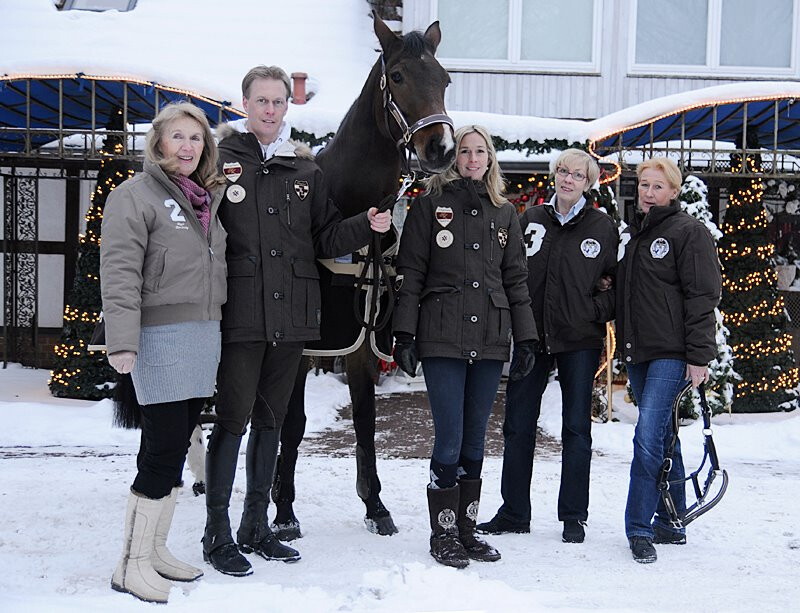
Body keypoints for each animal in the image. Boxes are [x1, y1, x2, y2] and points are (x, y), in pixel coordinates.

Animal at [270, 13, 454, 536]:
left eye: (444, 80)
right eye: (399, 76)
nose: (441, 147)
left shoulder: (361, 342)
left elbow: (366, 421)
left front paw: (375, 505)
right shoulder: (301, 346)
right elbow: (291, 425)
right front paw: (283, 509)